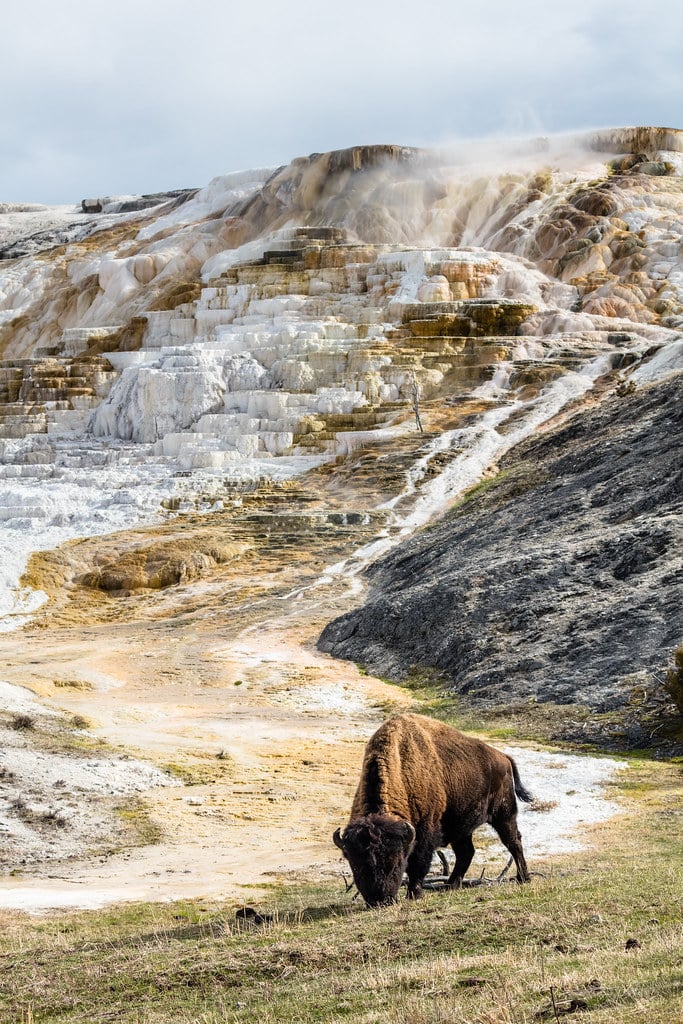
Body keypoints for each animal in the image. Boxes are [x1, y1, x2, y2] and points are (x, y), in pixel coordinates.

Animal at [333, 712, 532, 907]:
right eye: (355, 864)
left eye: (396, 863)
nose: (379, 901)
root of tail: (504, 757)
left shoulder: (425, 833)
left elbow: (418, 864)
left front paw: (414, 894)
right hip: (461, 827)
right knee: (466, 852)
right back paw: (450, 885)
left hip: (504, 815)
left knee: (513, 842)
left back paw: (523, 878)